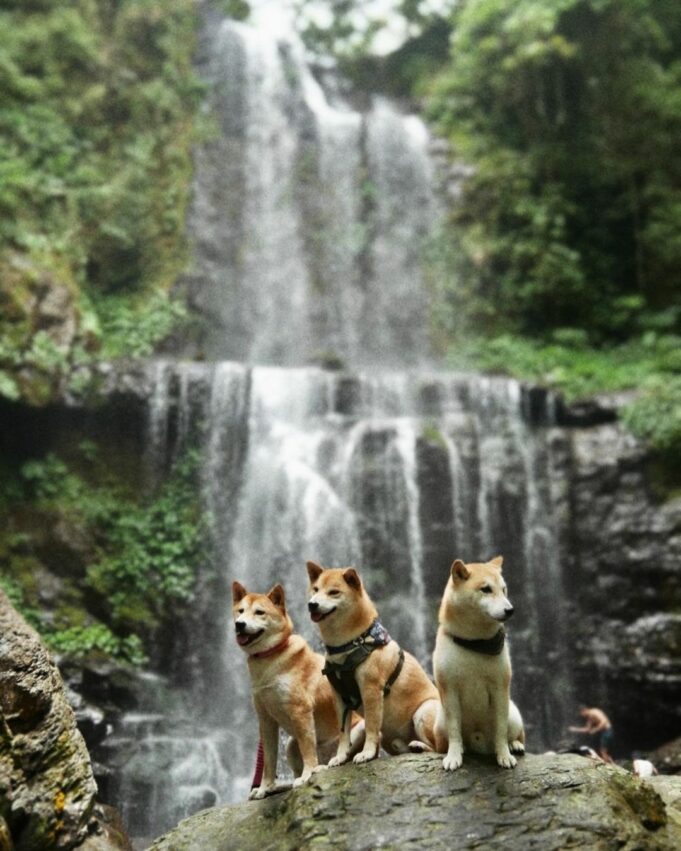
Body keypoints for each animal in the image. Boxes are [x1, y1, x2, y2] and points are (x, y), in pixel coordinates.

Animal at [231, 580, 356, 800]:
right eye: (240, 611)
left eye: (260, 612)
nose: (240, 624)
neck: (269, 659)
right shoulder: (266, 720)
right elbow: (269, 761)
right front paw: (263, 788)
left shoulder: (300, 711)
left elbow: (307, 749)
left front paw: (307, 776)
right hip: (290, 744)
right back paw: (280, 786)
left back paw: (320, 769)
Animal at [306, 564, 438, 768]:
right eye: (315, 590)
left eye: (334, 592)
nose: (312, 604)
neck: (351, 644)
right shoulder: (340, 697)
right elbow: (343, 734)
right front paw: (340, 757)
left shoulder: (371, 690)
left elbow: (371, 727)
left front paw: (366, 754)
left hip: (423, 712)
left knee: (441, 747)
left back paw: (419, 746)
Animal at [432, 560, 524, 772]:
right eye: (486, 589)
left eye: (504, 589)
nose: (510, 609)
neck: (474, 642)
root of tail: (479, 743)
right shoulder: (449, 689)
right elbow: (454, 731)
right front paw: (453, 756)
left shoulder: (500, 688)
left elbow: (501, 729)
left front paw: (504, 755)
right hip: (440, 720)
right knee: (441, 743)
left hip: (514, 714)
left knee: (514, 734)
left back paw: (514, 745)